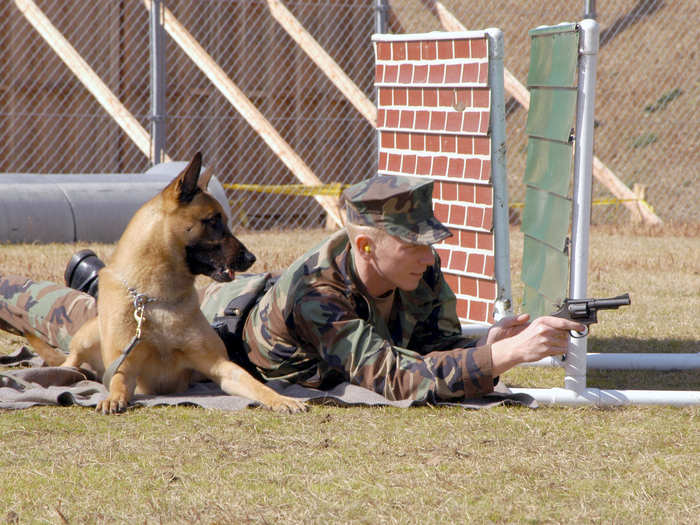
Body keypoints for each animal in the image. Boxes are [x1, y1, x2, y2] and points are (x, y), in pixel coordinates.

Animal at [28, 151, 306, 414]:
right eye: (213, 220)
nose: (251, 258)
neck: (156, 297)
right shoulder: (126, 367)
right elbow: (118, 383)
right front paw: (112, 399)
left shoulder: (220, 366)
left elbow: (252, 383)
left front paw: (281, 399)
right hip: (87, 336)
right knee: (69, 363)